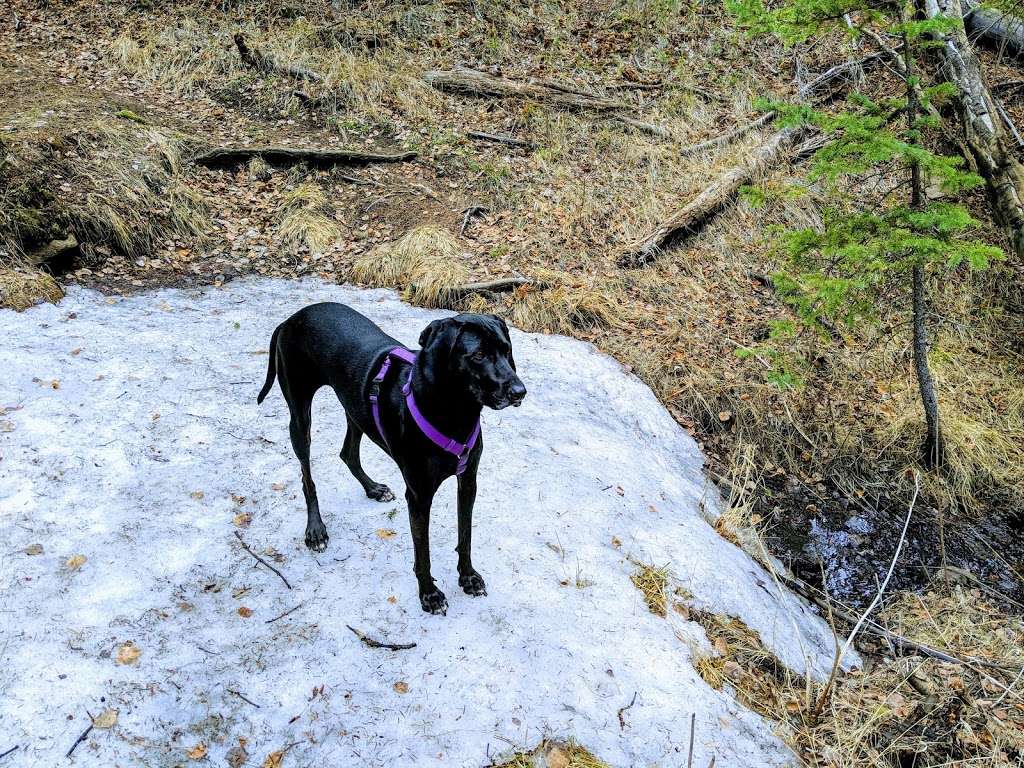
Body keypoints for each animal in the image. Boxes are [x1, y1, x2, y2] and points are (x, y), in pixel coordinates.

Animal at [256, 303, 528, 618]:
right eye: (479, 355)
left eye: (507, 350)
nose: (519, 392)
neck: (453, 412)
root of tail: (292, 318)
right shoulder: (419, 496)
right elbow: (423, 552)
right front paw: (429, 594)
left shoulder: (468, 481)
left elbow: (465, 535)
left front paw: (468, 576)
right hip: (300, 416)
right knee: (306, 476)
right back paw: (316, 530)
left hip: (355, 408)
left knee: (348, 453)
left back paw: (373, 488)